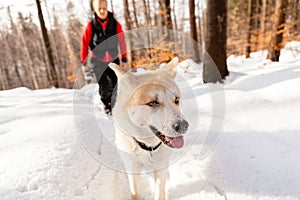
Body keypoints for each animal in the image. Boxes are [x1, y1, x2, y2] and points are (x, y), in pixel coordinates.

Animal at [108, 57, 189, 199]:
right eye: (153, 103)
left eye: (176, 100)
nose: (183, 126)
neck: (147, 148)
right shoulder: (132, 168)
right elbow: (135, 193)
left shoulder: (160, 167)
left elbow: (159, 193)